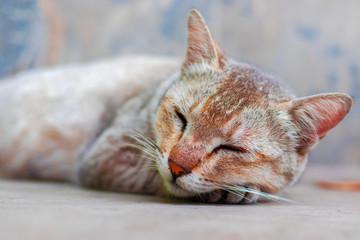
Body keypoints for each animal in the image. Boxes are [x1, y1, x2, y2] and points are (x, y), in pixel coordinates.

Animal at [0, 9, 352, 204]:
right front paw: (235, 189)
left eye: (232, 148)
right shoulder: (106, 154)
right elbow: (151, 175)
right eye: (181, 117)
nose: (177, 165)